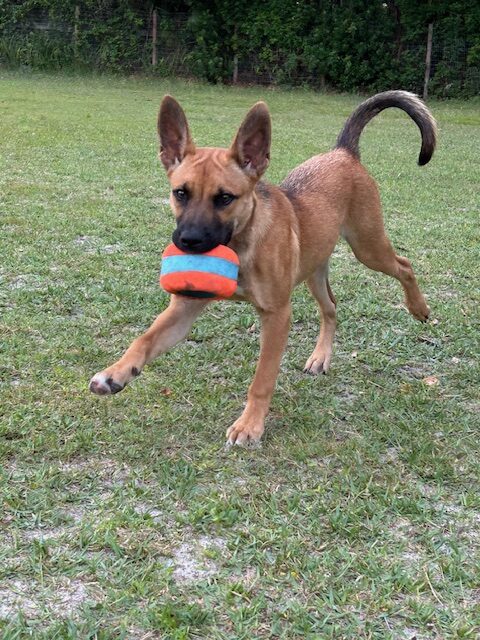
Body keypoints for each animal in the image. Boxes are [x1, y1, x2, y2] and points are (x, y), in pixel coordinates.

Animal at [88, 90, 436, 444]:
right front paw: (116, 373)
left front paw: (250, 424)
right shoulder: (184, 308)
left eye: (225, 198)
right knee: (331, 307)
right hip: (314, 268)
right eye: (180, 193)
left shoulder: (277, 316)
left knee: (405, 266)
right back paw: (321, 356)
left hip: (368, 246)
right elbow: (143, 340)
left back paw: (418, 308)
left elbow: (262, 378)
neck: (241, 245)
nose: (188, 241)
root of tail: (343, 153)